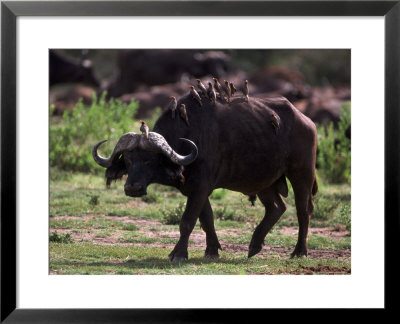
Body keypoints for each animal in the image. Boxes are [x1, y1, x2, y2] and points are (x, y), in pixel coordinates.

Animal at [92, 93, 318, 260]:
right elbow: (207, 218)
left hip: (302, 173)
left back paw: (299, 251)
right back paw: (254, 246)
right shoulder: (195, 188)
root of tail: (307, 121)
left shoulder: (201, 186)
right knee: (277, 207)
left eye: (149, 160)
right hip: (265, 181)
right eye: (128, 160)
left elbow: (187, 221)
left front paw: (178, 254)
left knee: (303, 210)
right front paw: (212, 251)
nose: (132, 188)